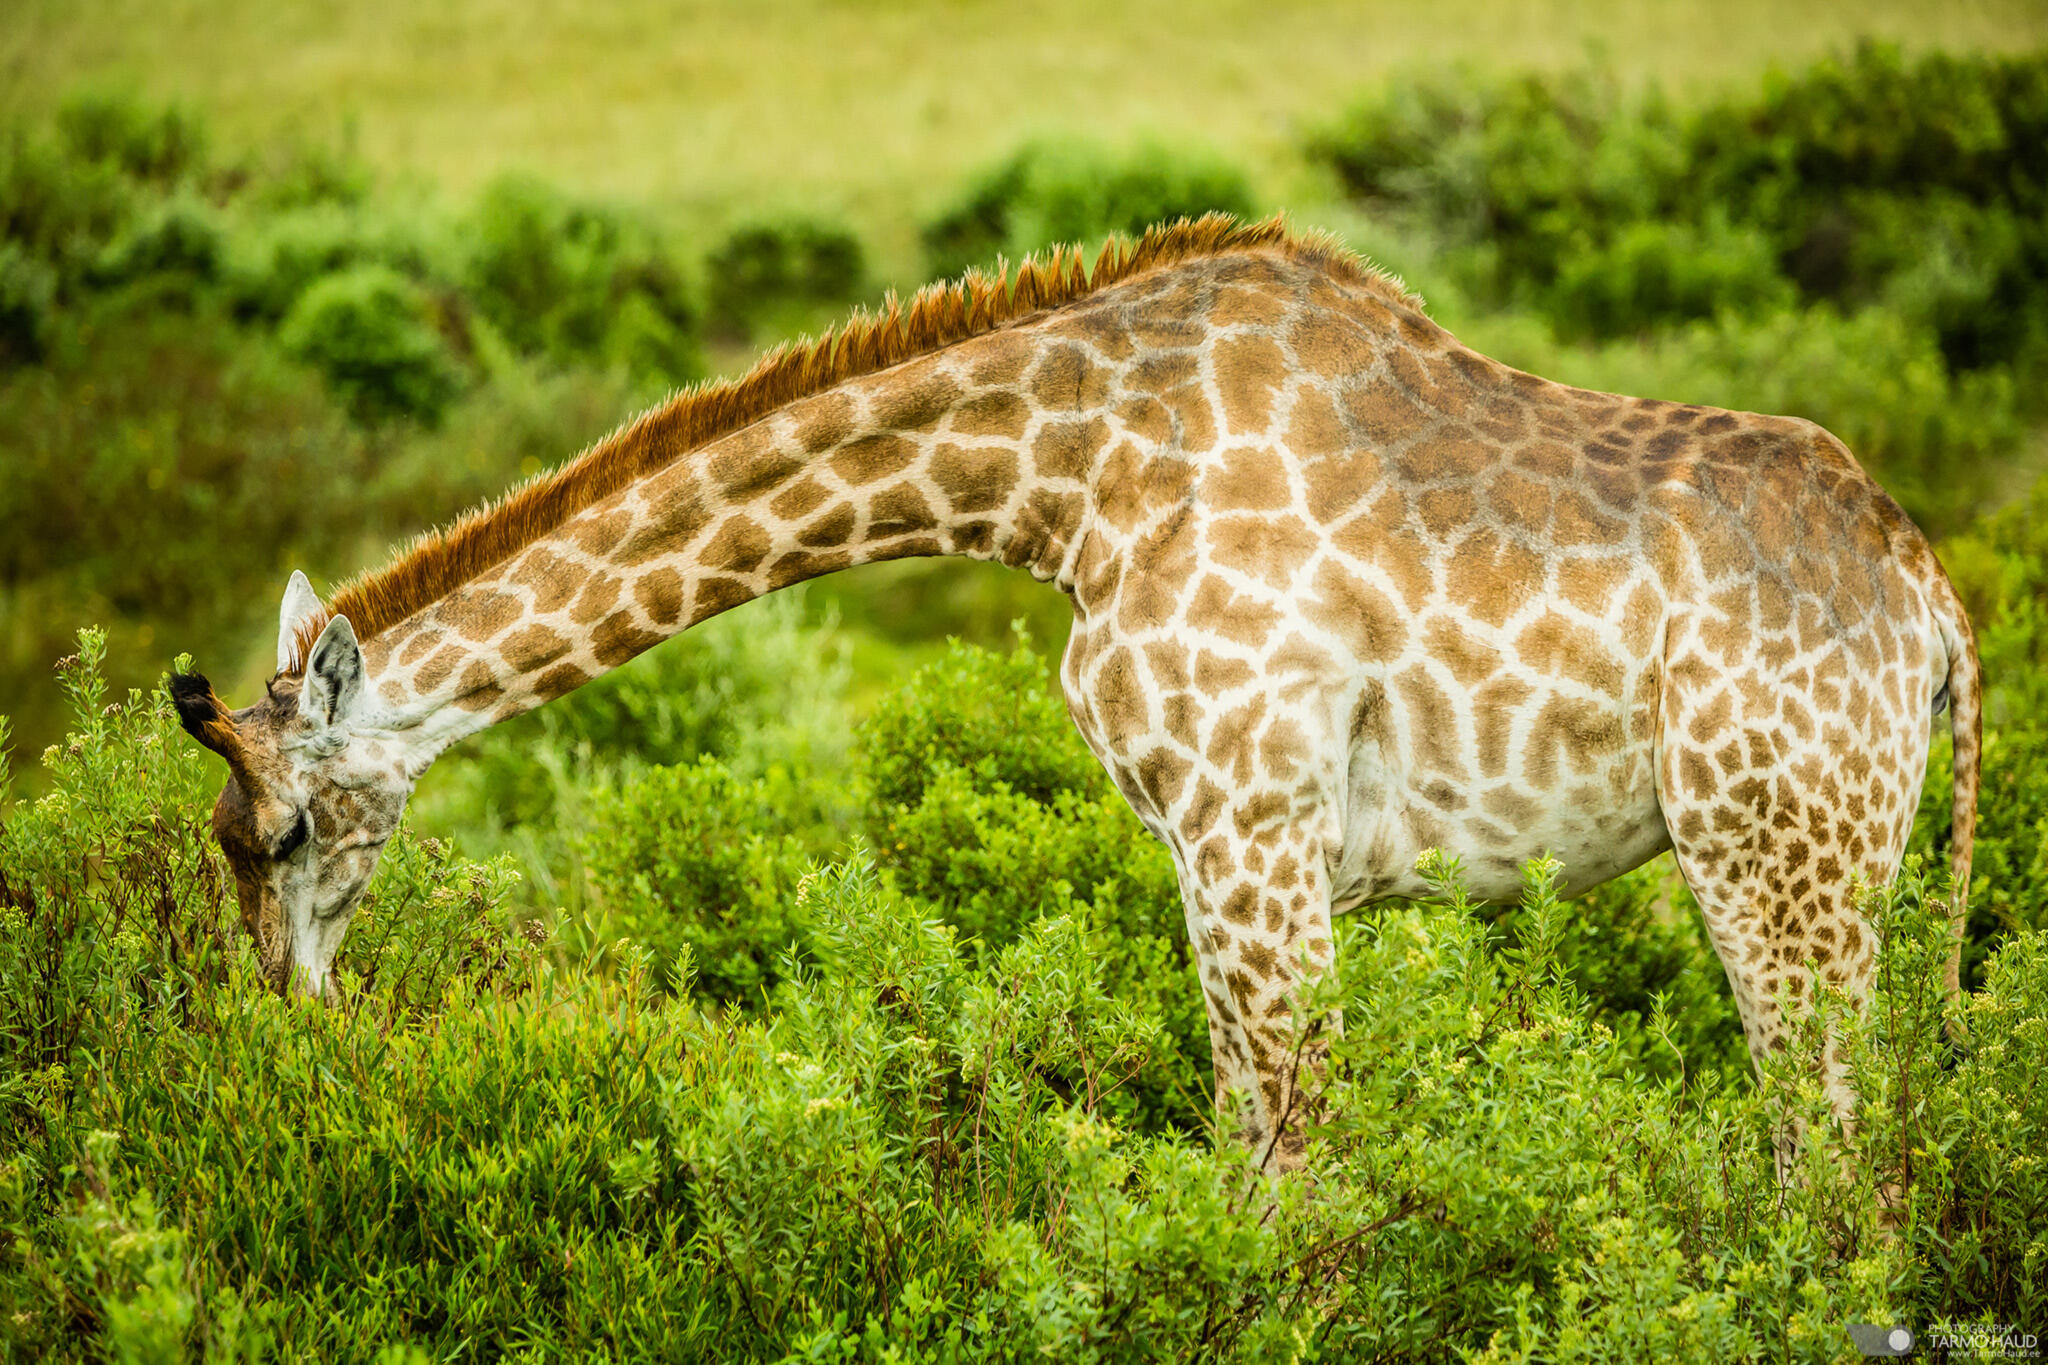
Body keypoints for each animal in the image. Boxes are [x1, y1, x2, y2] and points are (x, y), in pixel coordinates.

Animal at [170, 215, 1980, 1172]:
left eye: (278, 835)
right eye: (230, 845)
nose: (289, 1015)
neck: (1060, 480)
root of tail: (1934, 600)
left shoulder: (1254, 819)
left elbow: (1290, 1155)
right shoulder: (1212, 846)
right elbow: (1247, 1133)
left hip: (1775, 853)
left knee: (1833, 1157)